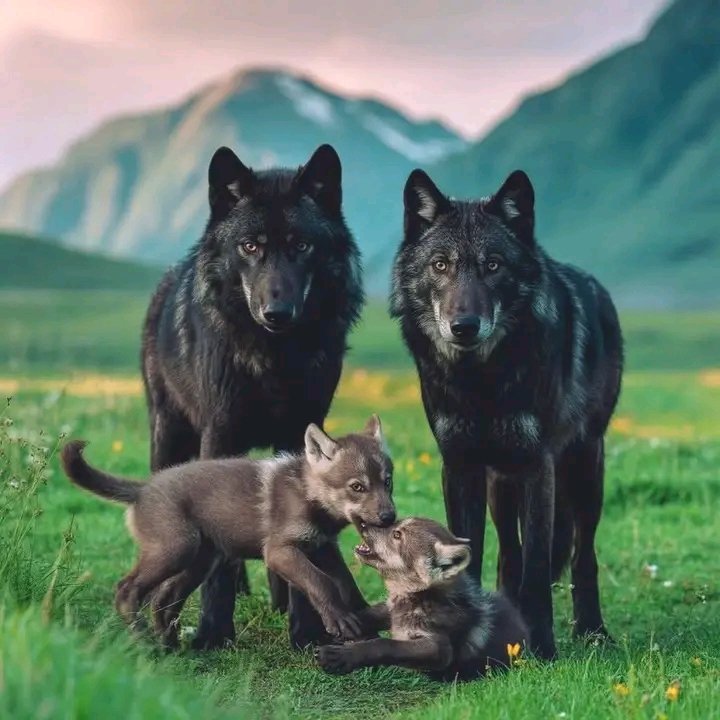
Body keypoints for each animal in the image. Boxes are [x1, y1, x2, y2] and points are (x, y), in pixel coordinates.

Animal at [60, 417, 395, 648]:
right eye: (357, 487)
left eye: (388, 481)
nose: (390, 517)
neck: (307, 494)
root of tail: (142, 489)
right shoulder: (279, 552)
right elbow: (321, 583)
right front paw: (340, 620)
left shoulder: (324, 548)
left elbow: (347, 586)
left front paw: (367, 623)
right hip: (177, 550)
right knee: (127, 589)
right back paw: (144, 639)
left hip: (201, 561)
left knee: (163, 601)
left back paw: (170, 646)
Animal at [141, 143, 363, 649]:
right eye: (250, 246)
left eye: (301, 245)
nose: (276, 312)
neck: (274, 357)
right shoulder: (221, 432)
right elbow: (221, 563)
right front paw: (213, 631)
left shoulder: (301, 431)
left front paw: (306, 630)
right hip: (168, 434)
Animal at [316, 517, 528, 679]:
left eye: (397, 535)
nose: (362, 523)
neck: (420, 599)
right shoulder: (388, 609)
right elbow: (365, 615)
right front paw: (338, 622)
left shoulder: (438, 649)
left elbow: (385, 644)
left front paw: (342, 656)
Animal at [390, 168, 623, 659]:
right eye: (440, 265)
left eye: (494, 265)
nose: (464, 326)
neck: (482, 382)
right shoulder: (460, 467)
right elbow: (473, 554)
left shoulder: (539, 466)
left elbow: (537, 566)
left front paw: (543, 650)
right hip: (500, 483)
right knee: (507, 554)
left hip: (585, 469)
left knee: (582, 555)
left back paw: (592, 631)